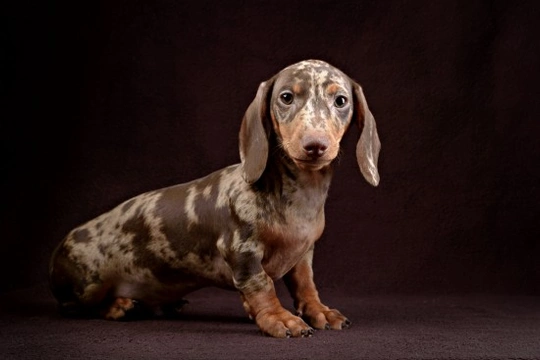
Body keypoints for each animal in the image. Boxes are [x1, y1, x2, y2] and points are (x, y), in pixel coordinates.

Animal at [49, 59, 380, 338]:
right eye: (286, 97)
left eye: (341, 101)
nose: (315, 145)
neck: (300, 194)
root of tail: (59, 250)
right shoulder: (241, 250)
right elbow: (261, 285)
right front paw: (279, 318)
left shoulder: (303, 254)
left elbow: (306, 285)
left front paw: (319, 311)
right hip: (88, 284)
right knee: (73, 306)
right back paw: (118, 306)